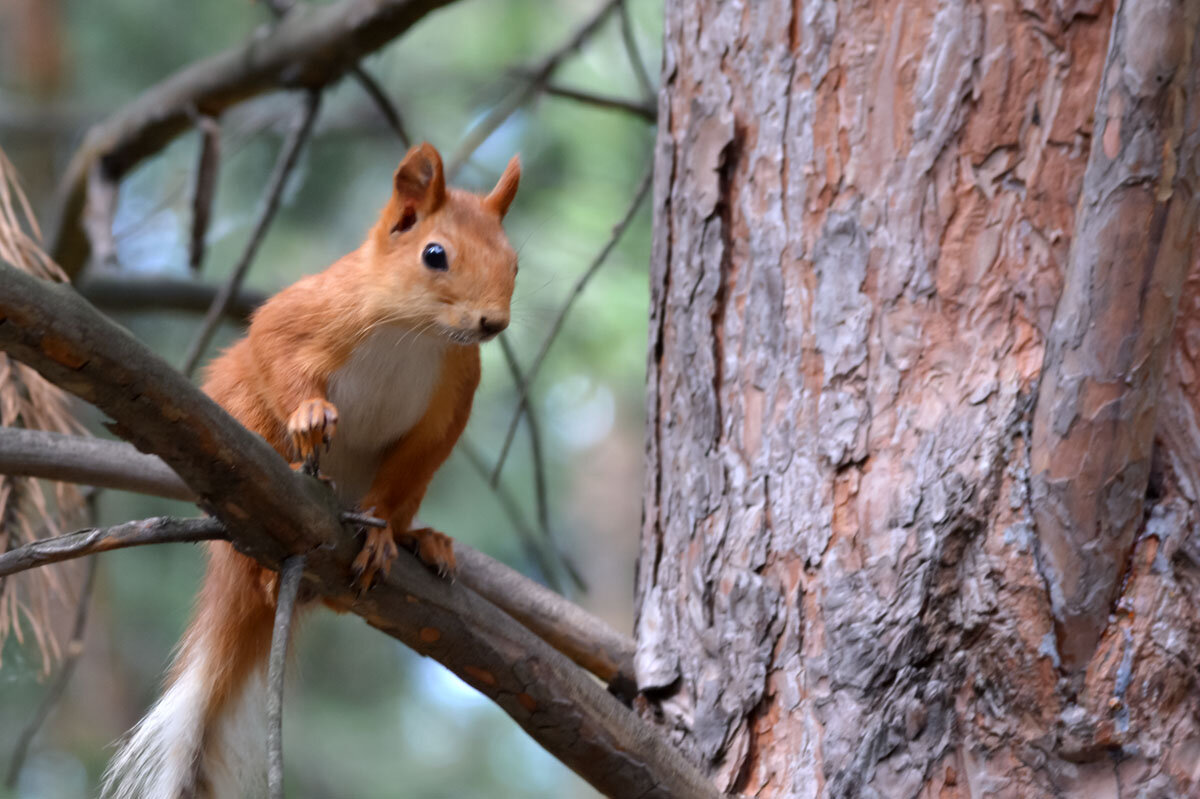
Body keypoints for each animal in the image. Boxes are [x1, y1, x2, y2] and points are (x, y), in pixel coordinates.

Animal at [100, 143, 518, 796]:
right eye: (435, 254)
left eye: (515, 262)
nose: (493, 323)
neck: (414, 332)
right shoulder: (312, 309)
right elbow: (275, 342)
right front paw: (310, 412)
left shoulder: (451, 398)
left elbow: (412, 464)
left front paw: (378, 533)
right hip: (244, 430)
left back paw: (419, 539)